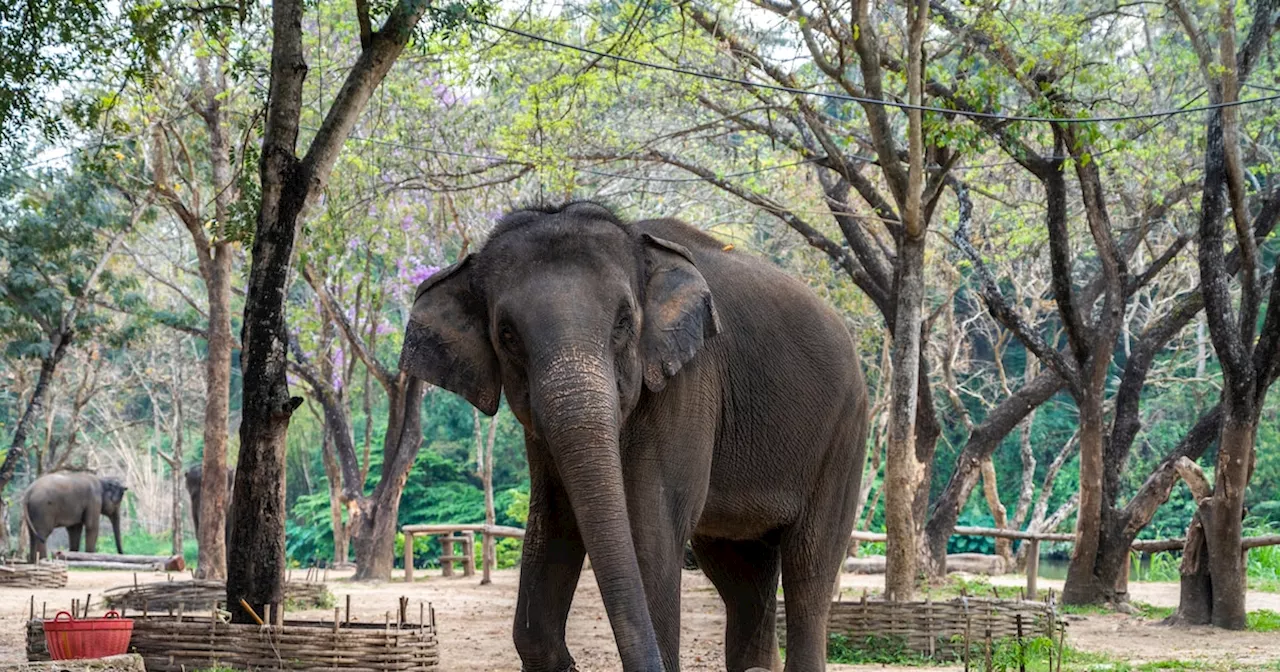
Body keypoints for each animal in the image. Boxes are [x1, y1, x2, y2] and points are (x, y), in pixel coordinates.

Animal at [399, 203, 870, 670]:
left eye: (624, 322)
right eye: (507, 335)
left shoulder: (689, 380)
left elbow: (651, 531)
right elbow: (555, 521)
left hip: (846, 433)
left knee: (809, 567)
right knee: (741, 576)